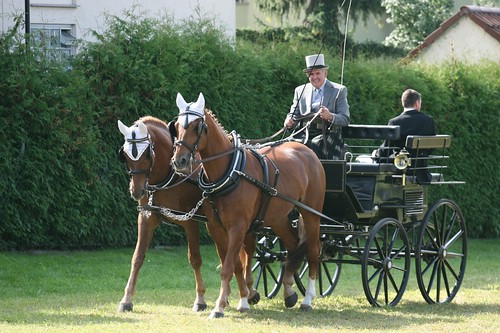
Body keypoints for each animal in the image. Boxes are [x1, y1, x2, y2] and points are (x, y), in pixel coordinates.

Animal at [116, 116, 258, 312]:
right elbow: (137, 257)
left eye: (147, 155)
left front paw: (200, 299)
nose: (137, 191)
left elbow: (195, 259)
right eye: (125, 156)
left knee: (248, 251)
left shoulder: (191, 222)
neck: (169, 175)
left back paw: (250, 290)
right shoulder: (146, 218)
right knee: (226, 254)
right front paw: (127, 299)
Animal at [172, 92, 326, 318]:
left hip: (311, 213)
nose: (179, 161)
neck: (230, 170)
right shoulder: (216, 228)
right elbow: (234, 263)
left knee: (314, 251)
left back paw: (308, 299)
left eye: (196, 127)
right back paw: (289, 291)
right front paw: (242, 300)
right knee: (292, 246)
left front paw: (219, 307)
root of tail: (307, 150)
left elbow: (228, 266)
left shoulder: (238, 227)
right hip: (279, 217)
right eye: (176, 125)